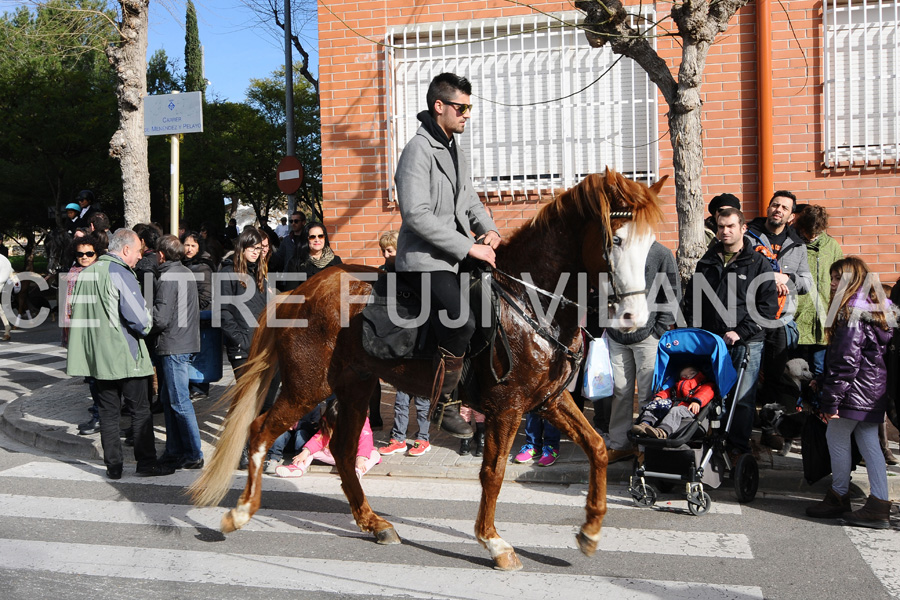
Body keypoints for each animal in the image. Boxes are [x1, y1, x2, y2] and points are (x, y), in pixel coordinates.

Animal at [190, 170, 664, 572]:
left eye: (651, 243)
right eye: (616, 239)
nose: (635, 317)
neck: (530, 302)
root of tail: (299, 292)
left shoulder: (548, 400)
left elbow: (597, 447)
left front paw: (590, 531)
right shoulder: (508, 408)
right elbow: (493, 473)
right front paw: (493, 542)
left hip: (355, 387)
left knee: (342, 450)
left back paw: (374, 523)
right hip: (307, 388)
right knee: (260, 431)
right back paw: (240, 512)